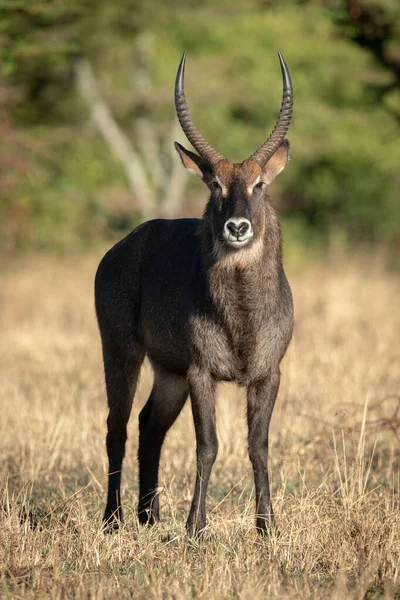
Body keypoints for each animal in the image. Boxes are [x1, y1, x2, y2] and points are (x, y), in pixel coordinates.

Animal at [95, 51, 292, 536]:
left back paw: (149, 517)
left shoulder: (268, 373)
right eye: (214, 184)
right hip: (121, 350)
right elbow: (208, 445)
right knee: (117, 428)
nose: (237, 227)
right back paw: (113, 520)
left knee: (150, 426)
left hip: (169, 372)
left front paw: (267, 528)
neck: (242, 317)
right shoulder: (202, 372)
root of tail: (122, 246)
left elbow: (258, 446)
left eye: (260, 184)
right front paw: (196, 528)